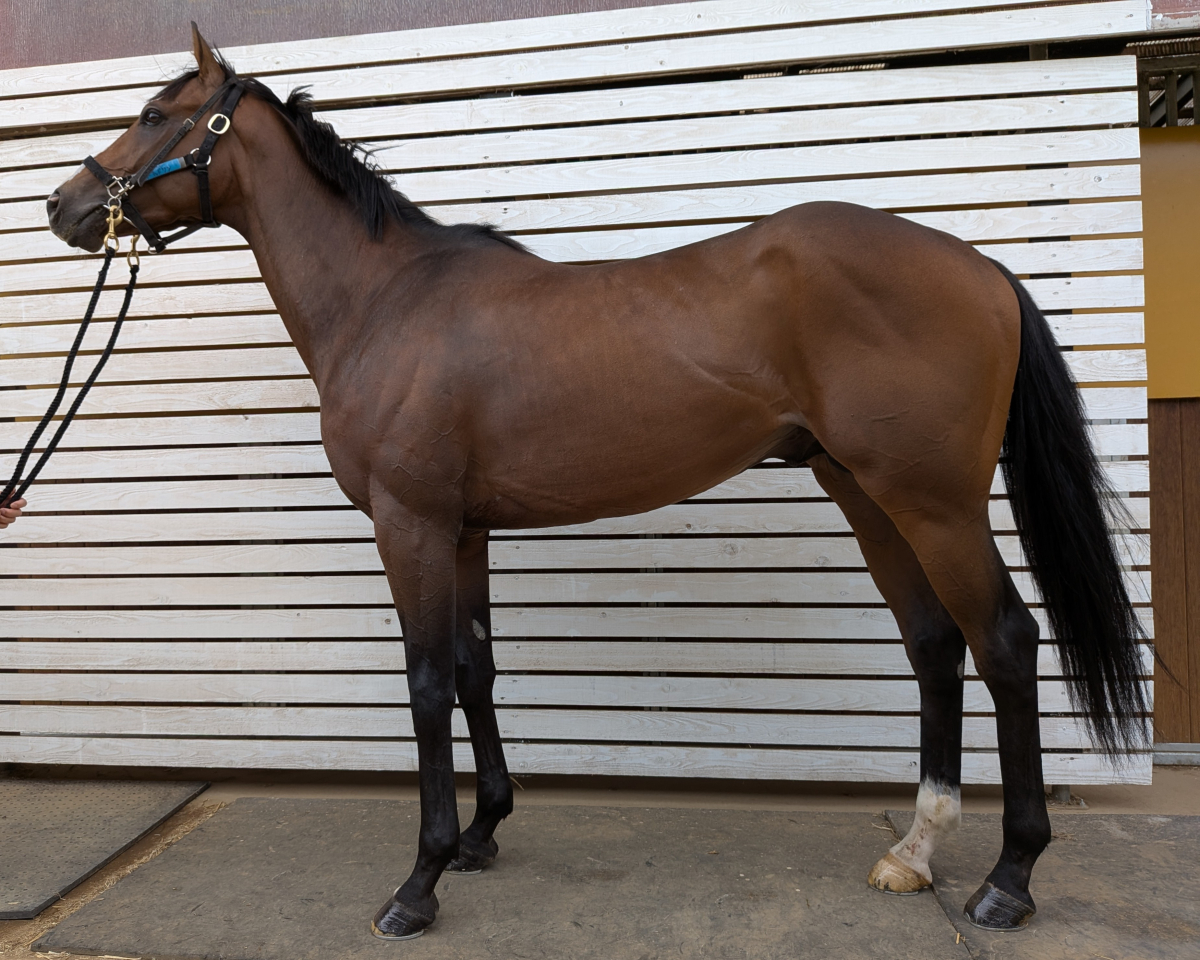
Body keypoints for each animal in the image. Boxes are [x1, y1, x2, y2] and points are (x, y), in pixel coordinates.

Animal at [46, 26, 1147, 940]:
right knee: (934, 646)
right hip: (869, 495)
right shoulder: (464, 529)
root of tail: (981, 266)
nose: (64, 205)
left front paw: (419, 882)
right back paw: (914, 853)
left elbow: (427, 682)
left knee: (1003, 642)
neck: (388, 300)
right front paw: (484, 833)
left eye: (155, 113)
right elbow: (476, 669)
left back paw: (1009, 879)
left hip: (934, 503)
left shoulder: (410, 524)